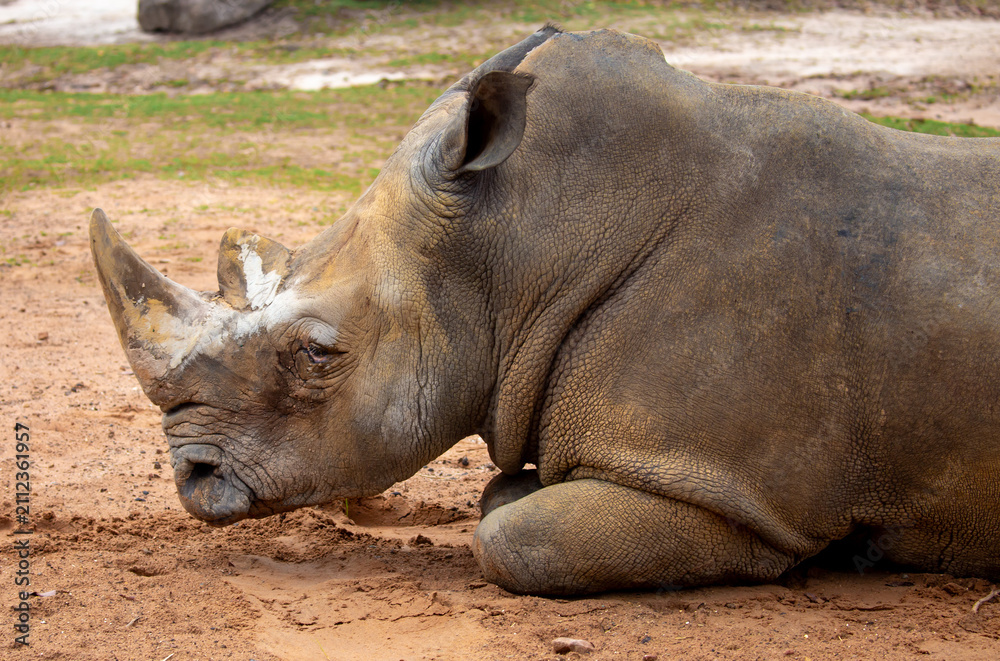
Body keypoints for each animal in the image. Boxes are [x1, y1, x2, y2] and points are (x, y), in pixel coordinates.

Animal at [90, 26, 1000, 595]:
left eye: (316, 353)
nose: (191, 475)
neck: (520, 242)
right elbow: (503, 496)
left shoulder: (730, 490)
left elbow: (515, 540)